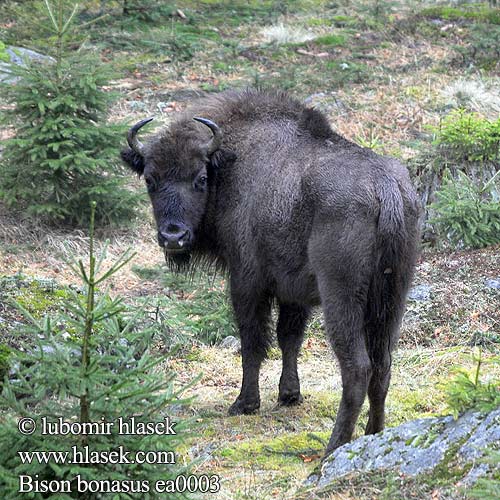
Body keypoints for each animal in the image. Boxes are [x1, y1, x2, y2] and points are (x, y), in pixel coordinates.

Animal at [122, 89, 422, 458]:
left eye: (200, 178)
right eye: (150, 179)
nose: (173, 236)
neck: (230, 163)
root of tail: (387, 190)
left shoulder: (247, 282)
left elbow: (253, 341)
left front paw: (244, 403)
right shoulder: (294, 293)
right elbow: (288, 338)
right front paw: (289, 395)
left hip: (342, 297)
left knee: (357, 368)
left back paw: (332, 448)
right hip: (392, 297)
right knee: (383, 365)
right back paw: (373, 435)